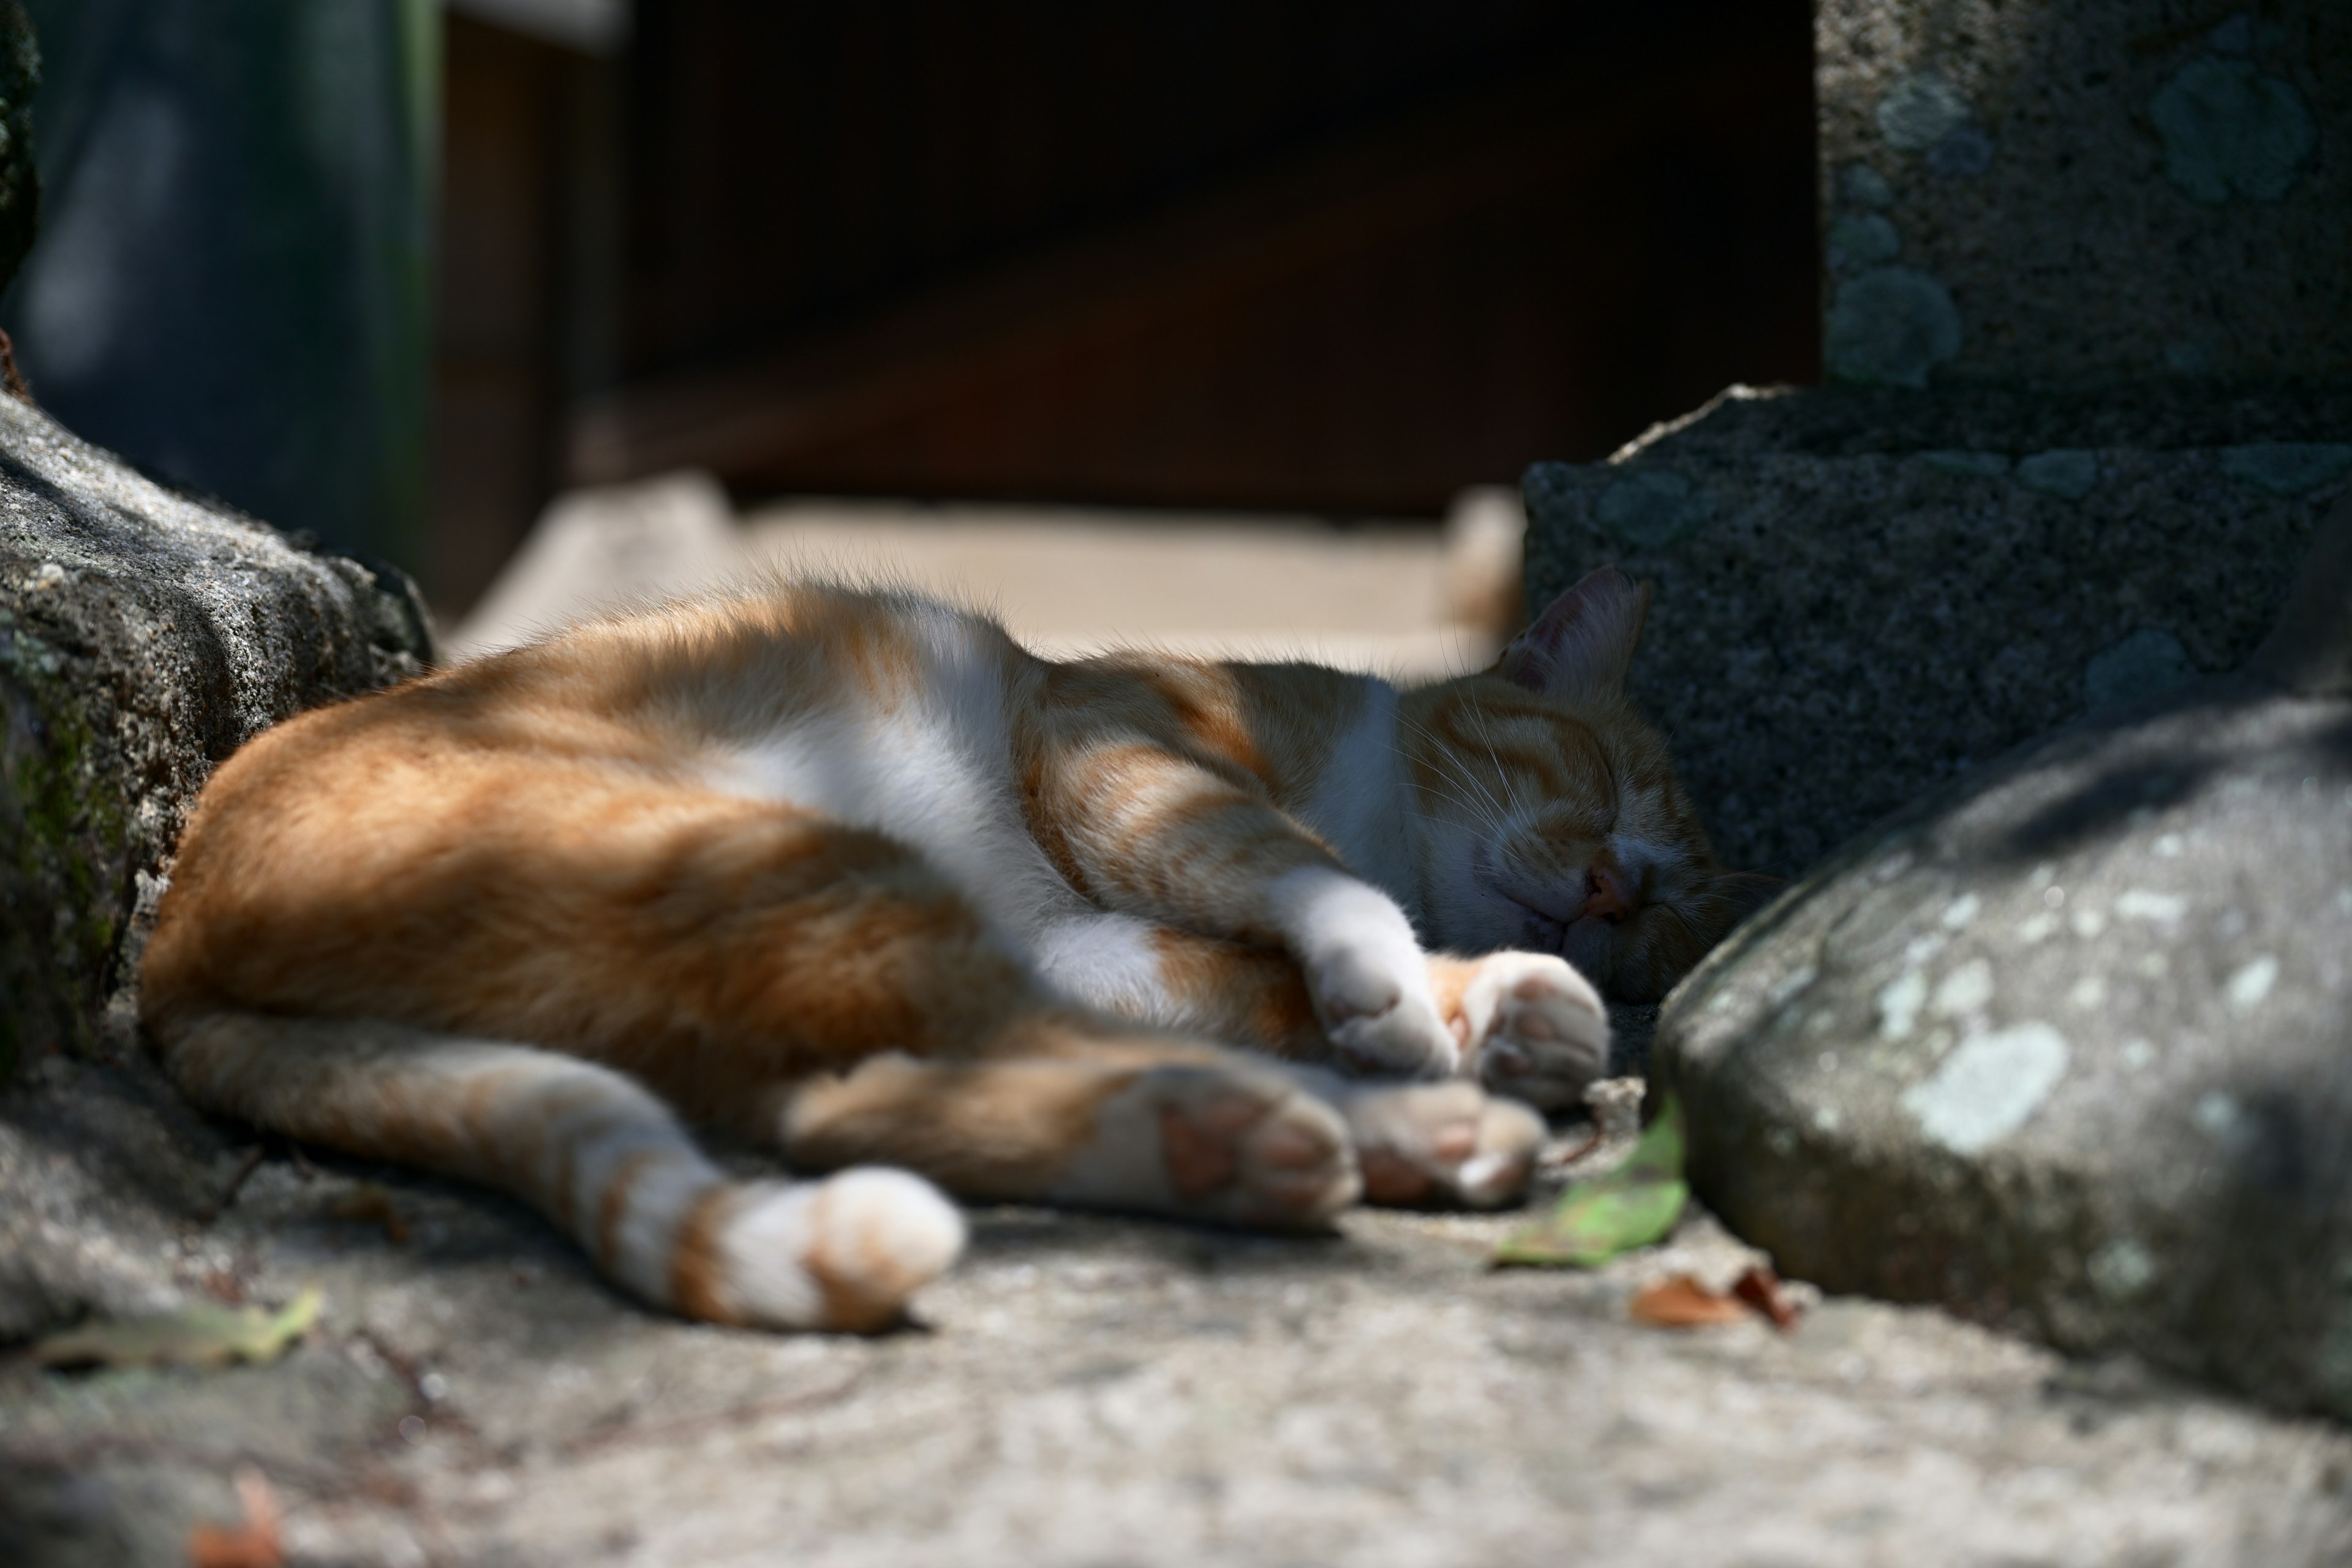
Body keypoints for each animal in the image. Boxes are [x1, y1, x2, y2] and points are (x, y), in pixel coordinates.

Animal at [142, 566, 1768, 1335]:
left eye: (1673, 912)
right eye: (1602, 784)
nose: (1612, 886)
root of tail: (173, 956)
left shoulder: (1094, 935)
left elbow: (1253, 971)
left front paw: (1475, 1003)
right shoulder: (1117, 755)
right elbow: (1305, 879)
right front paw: (1407, 982)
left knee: (867, 1101)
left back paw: (1293, 1141)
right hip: (806, 866)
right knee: (912, 1085)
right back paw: (1380, 1130)